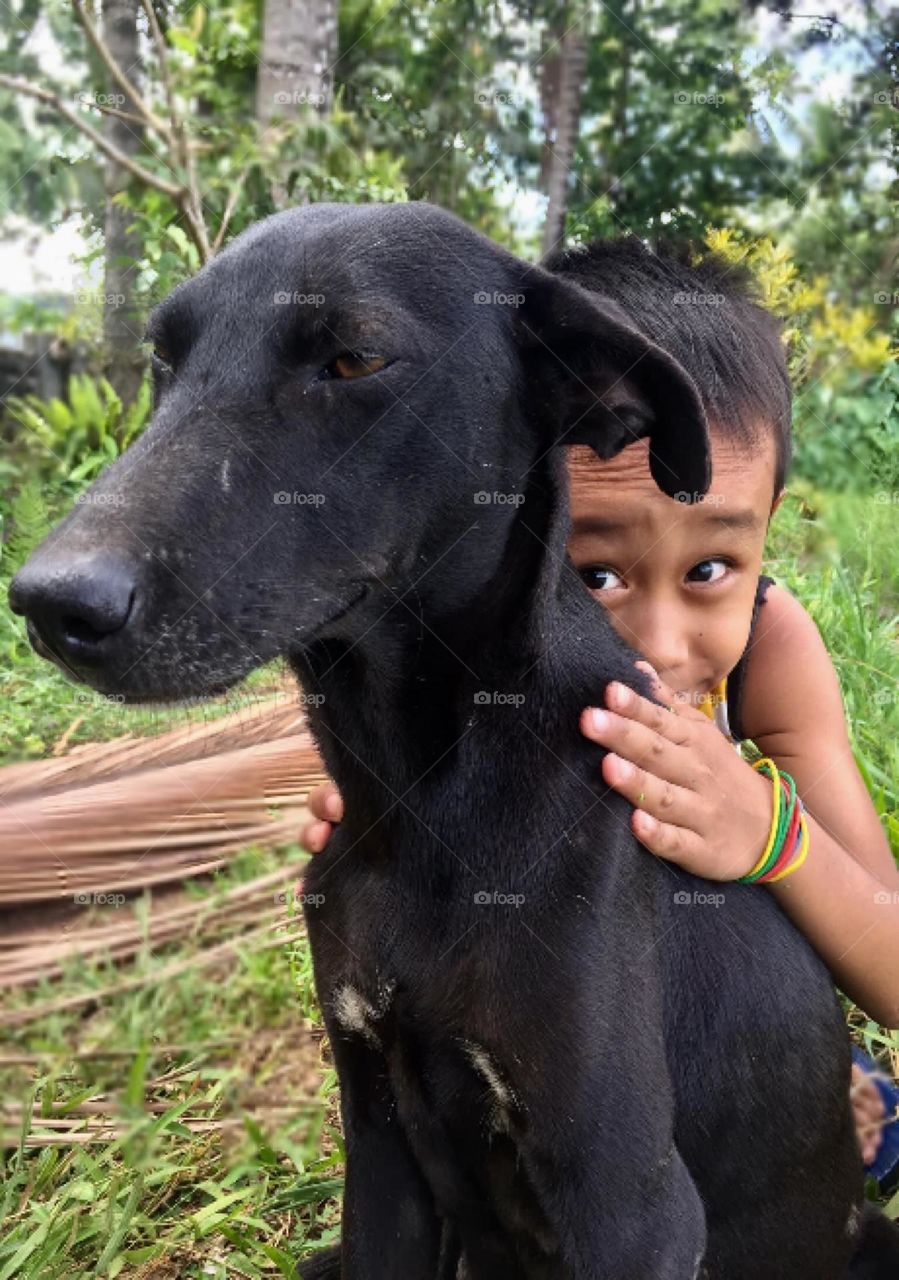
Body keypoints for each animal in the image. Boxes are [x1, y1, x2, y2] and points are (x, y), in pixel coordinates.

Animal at [8, 204, 899, 1274]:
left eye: (354, 357)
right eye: (163, 361)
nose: (50, 603)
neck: (417, 790)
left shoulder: (630, 1201)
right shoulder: (379, 1137)